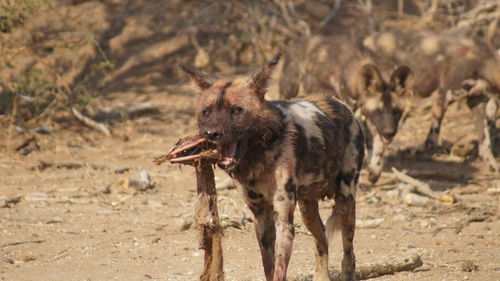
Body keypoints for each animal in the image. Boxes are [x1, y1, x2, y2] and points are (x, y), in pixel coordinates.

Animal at [183, 53, 364, 280]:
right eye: (206, 112)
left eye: (237, 110)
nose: (211, 133)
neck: (258, 155)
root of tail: (342, 104)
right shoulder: (261, 218)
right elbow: (269, 268)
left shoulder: (283, 220)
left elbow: (279, 270)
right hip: (307, 209)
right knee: (321, 241)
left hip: (346, 201)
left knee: (348, 255)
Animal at [280, 35, 412, 184]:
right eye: (378, 111)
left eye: (397, 111)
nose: (390, 133)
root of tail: (295, 42)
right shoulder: (353, 110)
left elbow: (377, 141)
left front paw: (375, 169)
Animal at [364, 30, 500, 171]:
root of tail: (368, 40)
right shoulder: (442, 96)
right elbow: (431, 140)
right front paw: (409, 152)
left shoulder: (477, 103)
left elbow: (485, 141)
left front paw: (492, 165)